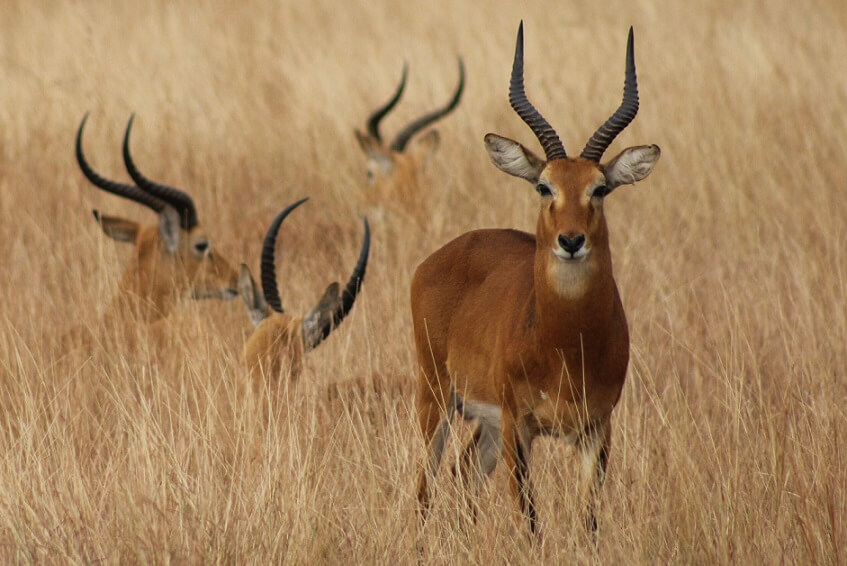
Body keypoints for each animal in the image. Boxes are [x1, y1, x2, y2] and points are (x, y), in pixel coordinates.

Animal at [410, 23, 664, 536]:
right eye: (544, 185)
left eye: (599, 188)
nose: (571, 240)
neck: (565, 345)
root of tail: (444, 254)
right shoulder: (519, 424)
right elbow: (530, 522)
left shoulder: (596, 428)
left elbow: (588, 523)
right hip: (438, 399)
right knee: (425, 489)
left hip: (483, 424)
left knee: (462, 476)